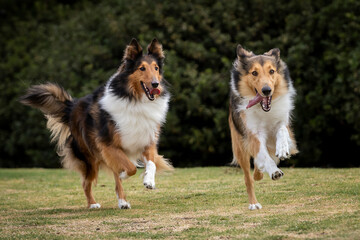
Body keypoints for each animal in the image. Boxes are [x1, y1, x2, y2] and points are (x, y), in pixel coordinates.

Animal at [20, 38, 174, 209]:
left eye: (156, 68)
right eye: (142, 68)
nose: (155, 84)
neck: (135, 100)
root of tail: (73, 106)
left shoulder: (146, 140)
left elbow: (151, 163)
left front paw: (149, 181)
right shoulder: (109, 144)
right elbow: (131, 168)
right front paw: (125, 174)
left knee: (113, 181)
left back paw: (122, 202)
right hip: (90, 157)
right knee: (86, 183)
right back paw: (93, 204)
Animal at [229, 45, 300, 210]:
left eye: (272, 71)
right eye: (254, 72)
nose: (267, 90)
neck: (264, 109)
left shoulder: (282, 122)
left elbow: (282, 130)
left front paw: (283, 149)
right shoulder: (254, 135)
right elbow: (265, 157)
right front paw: (274, 171)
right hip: (240, 147)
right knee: (249, 178)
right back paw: (254, 203)